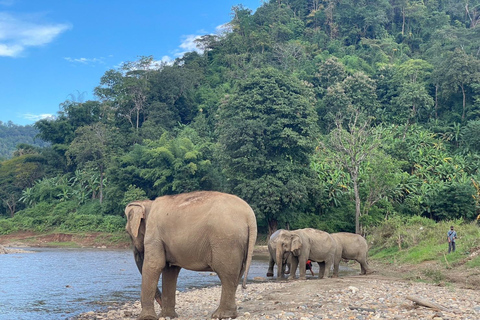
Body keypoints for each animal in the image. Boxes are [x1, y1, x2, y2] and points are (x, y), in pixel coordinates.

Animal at [125, 191, 256, 318]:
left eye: (127, 232)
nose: (160, 304)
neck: (148, 203)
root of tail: (249, 216)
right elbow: (170, 270)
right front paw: (168, 316)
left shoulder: (154, 234)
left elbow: (154, 265)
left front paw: (147, 317)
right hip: (240, 244)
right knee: (236, 275)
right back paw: (229, 314)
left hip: (226, 241)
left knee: (226, 275)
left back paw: (220, 315)